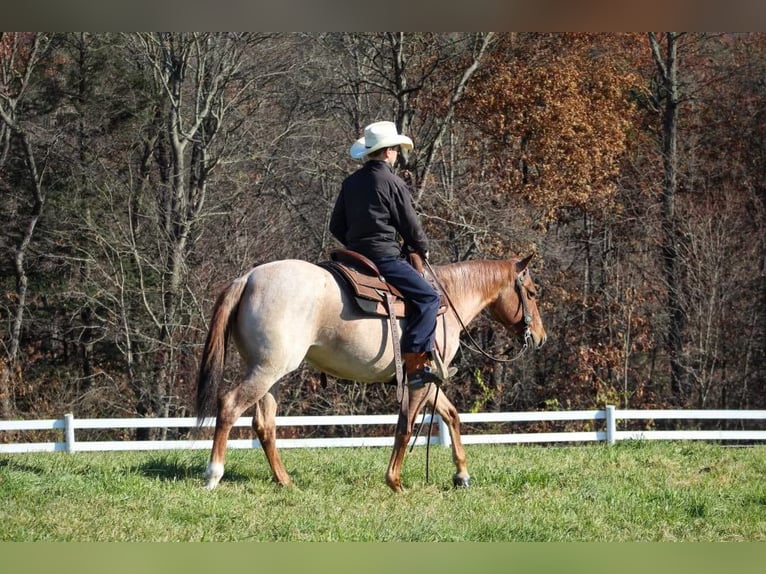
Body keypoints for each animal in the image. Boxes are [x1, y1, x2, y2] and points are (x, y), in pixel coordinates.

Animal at [195, 254, 548, 492]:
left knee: (264, 424)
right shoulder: (419, 382)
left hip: (270, 375)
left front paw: (461, 474)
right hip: (267, 370)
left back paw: (285, 481)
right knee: (229, 406)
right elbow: (406, 427)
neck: (447, 300)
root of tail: (248, 278)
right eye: (532, 293)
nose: (541, 338)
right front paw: (395, 481)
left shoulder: (430, 382)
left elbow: (452, 416)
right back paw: (214, 474)